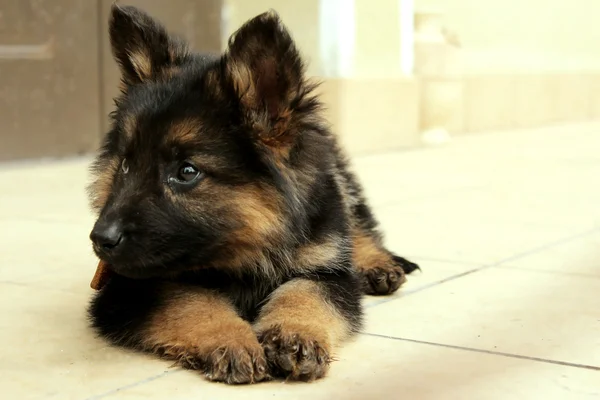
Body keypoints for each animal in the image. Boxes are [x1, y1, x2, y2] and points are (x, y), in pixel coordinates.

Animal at [88, 3, 418, 384]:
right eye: (125, 165)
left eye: (187, 172)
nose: (101, 239)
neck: (245, 249)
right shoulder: (129, 287)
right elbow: (188, 298)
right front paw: (230, 339)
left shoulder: (328, 272)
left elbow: (307, 292)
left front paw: (295, 333)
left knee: (358, 223)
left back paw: (376, 262)